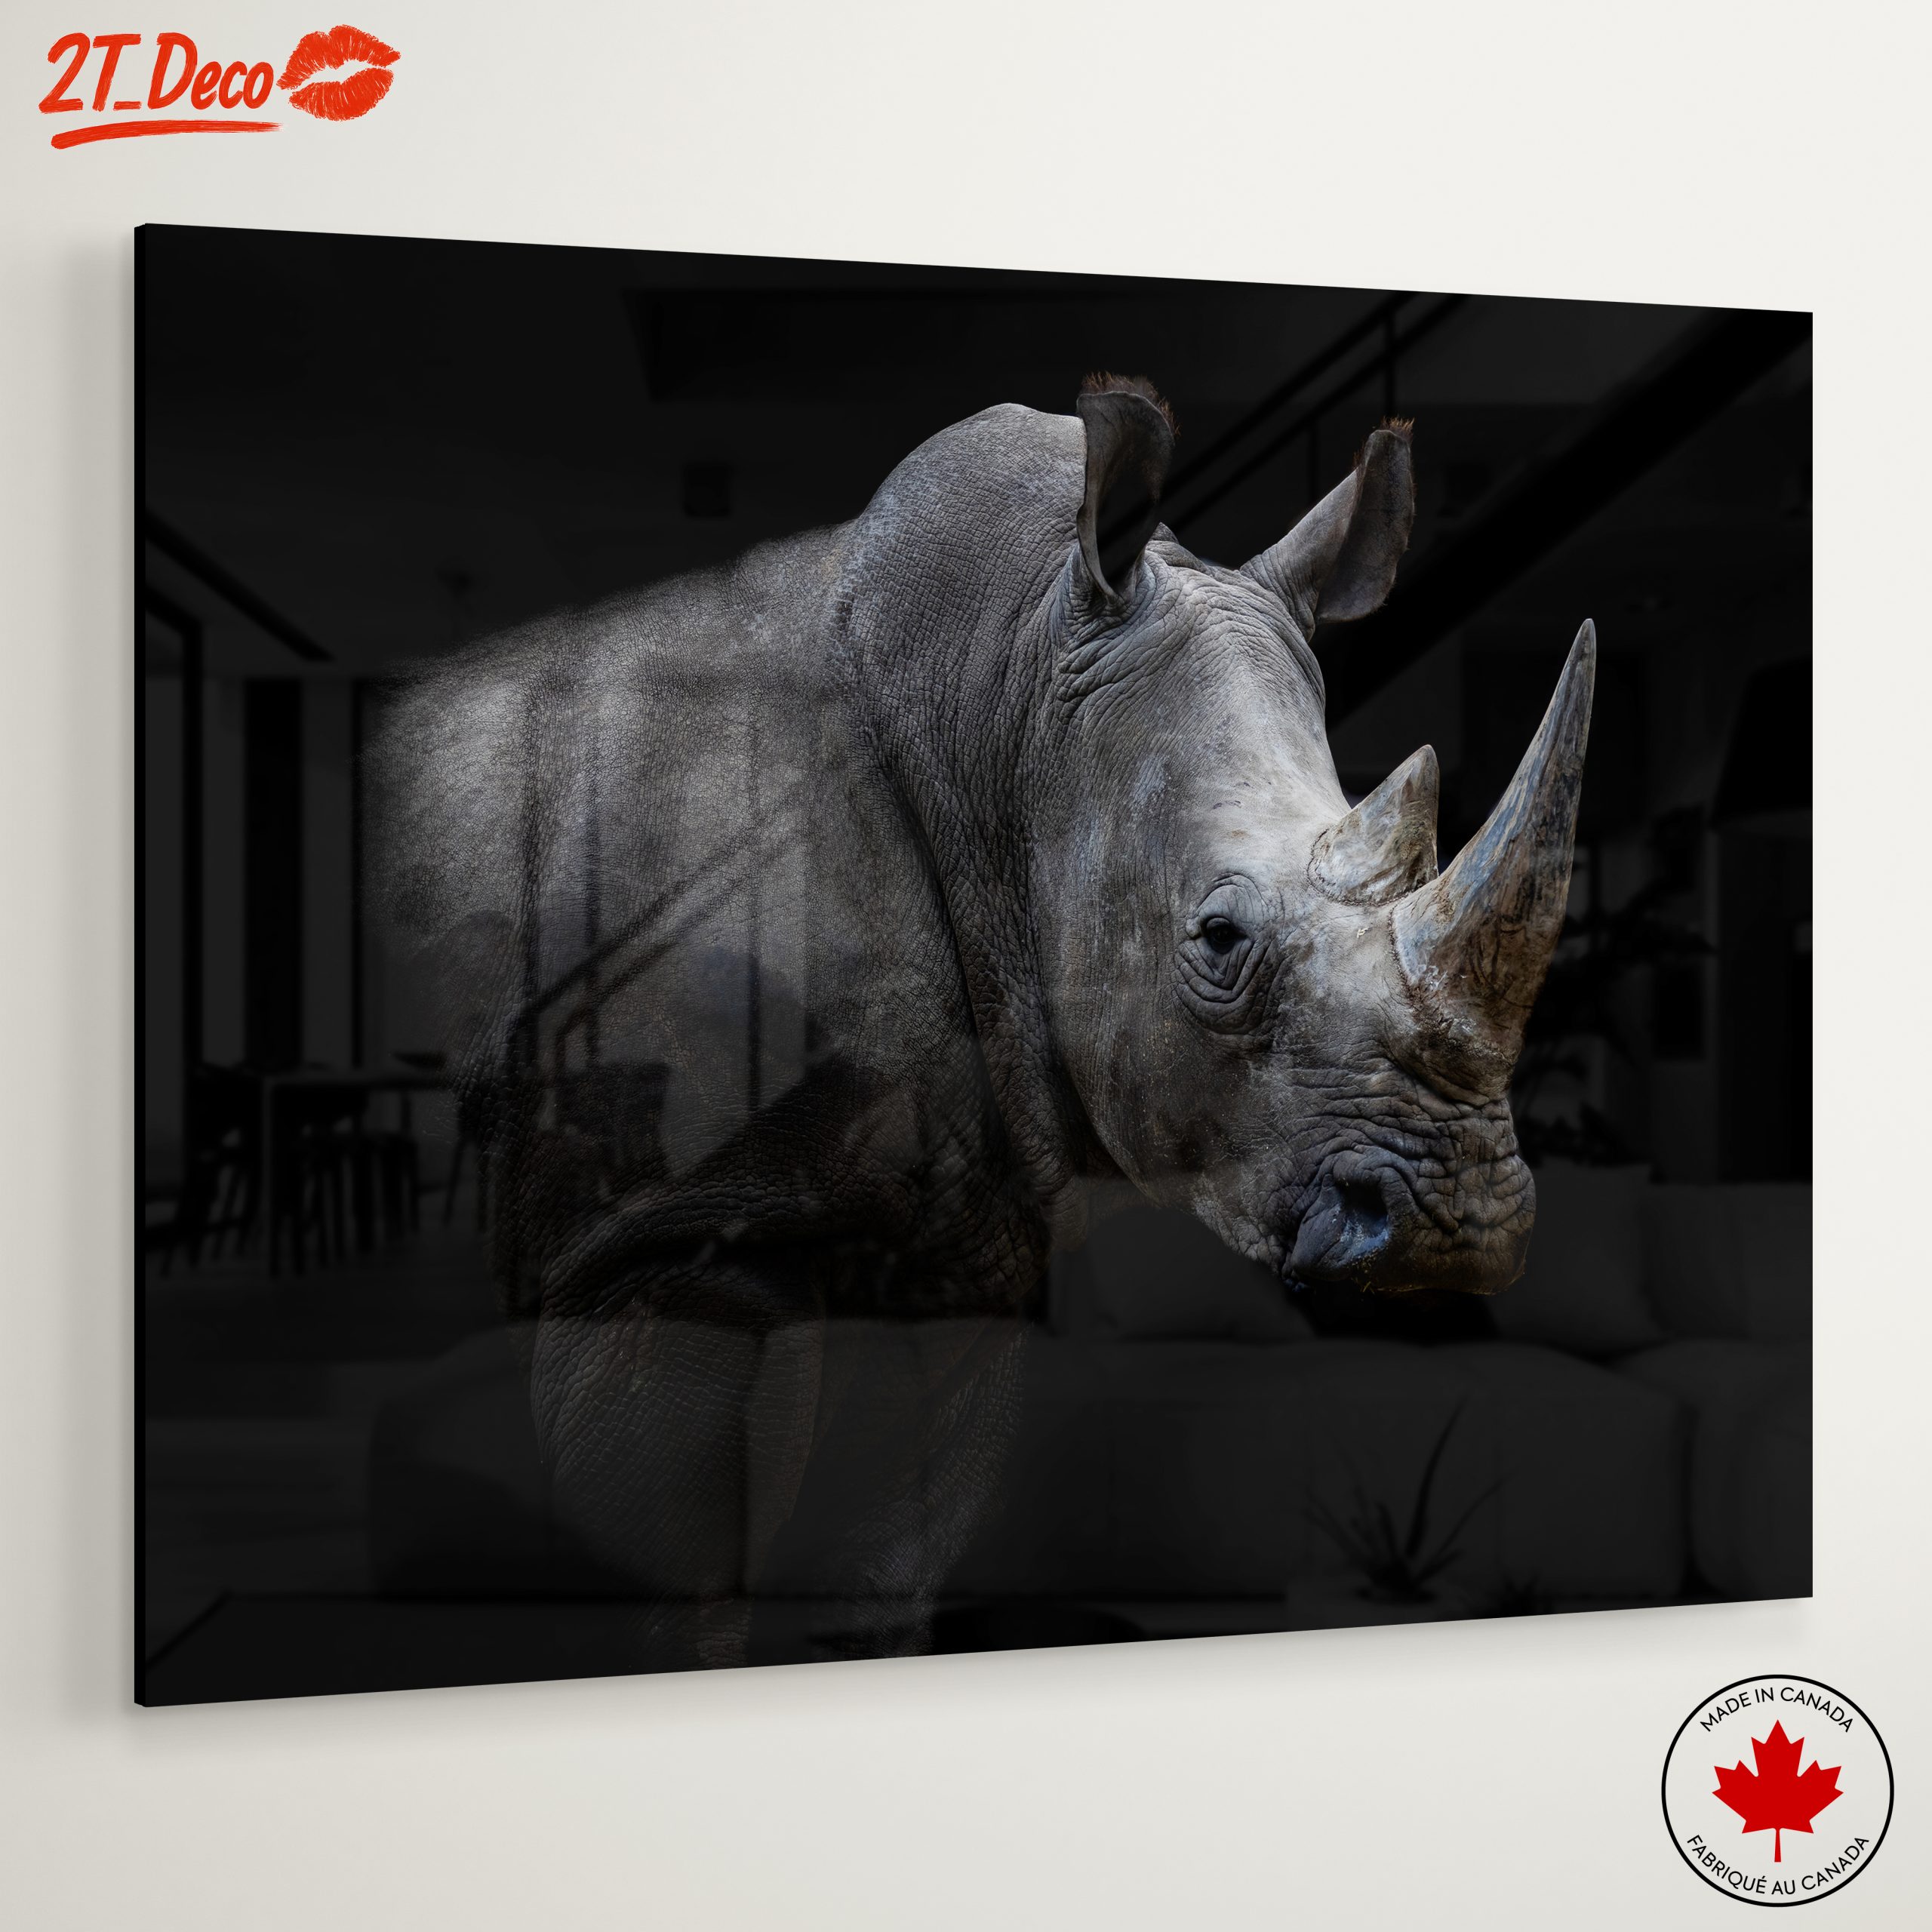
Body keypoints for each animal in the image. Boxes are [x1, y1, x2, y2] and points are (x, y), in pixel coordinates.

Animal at [372, 375, 1592, 1664]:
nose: (1457, 1227)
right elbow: (676, 1583)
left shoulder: (955, 1242)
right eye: (1219, 940)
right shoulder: (646, 1237)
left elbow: (871, 1567)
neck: (1003, 705)